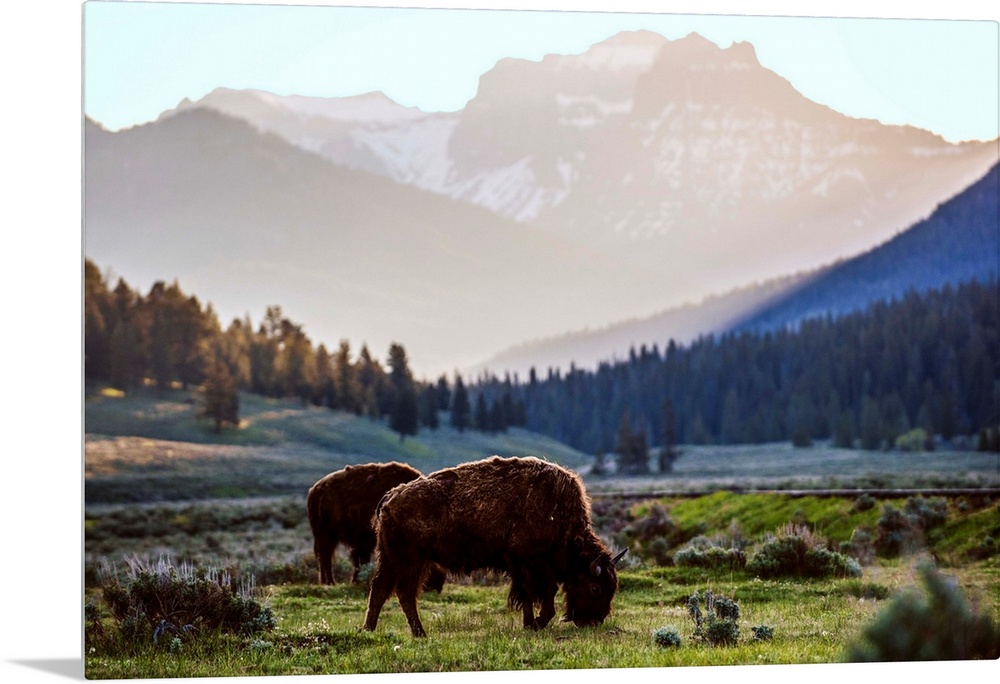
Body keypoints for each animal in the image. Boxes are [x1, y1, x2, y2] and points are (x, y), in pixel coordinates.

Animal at [304, 462, 446, 592]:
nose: (437, 587)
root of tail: (315, 490)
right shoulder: (365, 540)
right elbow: (361, 560)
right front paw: (357, 580)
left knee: (324, 556)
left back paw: (325, 581)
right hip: (325, 534)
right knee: (325, 556)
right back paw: (330, 582)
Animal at [364, 456, 620, 640]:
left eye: (613, 588)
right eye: (595, 587)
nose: (594, 621)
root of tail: (390, 497)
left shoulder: (520, 568)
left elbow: (527, 597)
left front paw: (529, 624)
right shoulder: (531, 564)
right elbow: (544, 595)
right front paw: (536, 624)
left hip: (392, 559)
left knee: (380, 590)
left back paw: (369, 630)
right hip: (411, 561)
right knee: (404, 593)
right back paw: (420, 634)